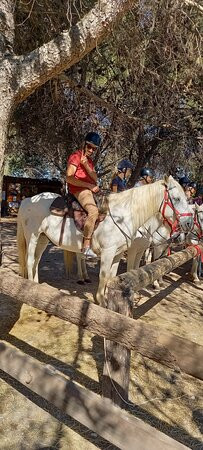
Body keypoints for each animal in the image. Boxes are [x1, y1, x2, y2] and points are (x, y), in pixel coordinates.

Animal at [17, 177, 192, 306]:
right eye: (176, 199)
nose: (188, 224)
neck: (123, 216)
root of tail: (27, 200)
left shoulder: (118, 253)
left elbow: (112, 276)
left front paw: (107, 299)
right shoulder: (109, 252)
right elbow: (104, 276)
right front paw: (100, 300)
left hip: (43, 238)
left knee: (36, 261)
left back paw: (37, 285)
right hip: (32, 236)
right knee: (30, 260)